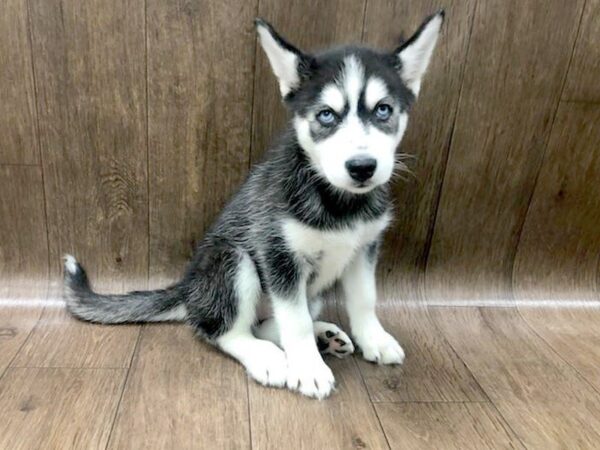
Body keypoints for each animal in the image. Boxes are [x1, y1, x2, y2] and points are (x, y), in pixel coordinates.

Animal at [63, 11, 442, 398]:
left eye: (384, 110)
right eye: (326, 115)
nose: (363, 167)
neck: (337, 201)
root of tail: (186, 287)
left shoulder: (364, 248)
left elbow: (364, 299)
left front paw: (374, 339)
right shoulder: (278, 255)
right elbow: (295, 321)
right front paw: (308, 368)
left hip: (303, 288)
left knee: (268, 322)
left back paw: (324, 336)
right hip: (232, 260)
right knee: (223, 329)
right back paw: (269, 357)